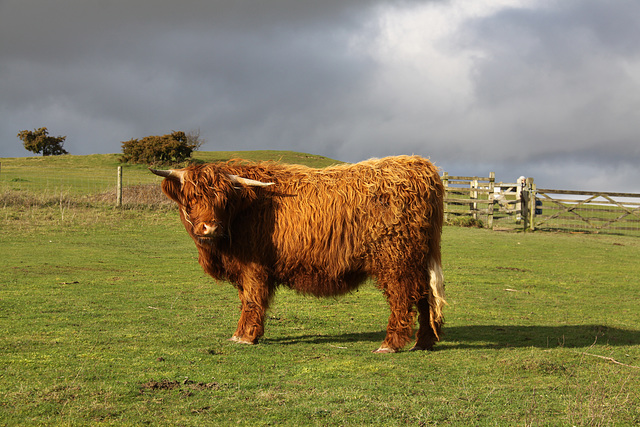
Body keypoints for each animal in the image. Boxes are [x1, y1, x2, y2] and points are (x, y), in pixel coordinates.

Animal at [152, 155, 448, 352]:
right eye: (191, 198)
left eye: (223, 200)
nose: (209, 227)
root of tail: (419, 165)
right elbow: (246, 300)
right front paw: (243, 334)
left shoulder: (254, 268)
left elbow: (252, 300)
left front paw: (245, 336)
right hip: (417, 259)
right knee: (424, 296)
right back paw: (424, 341)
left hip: (395, 260)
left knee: (402, 297)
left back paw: (391, 344)